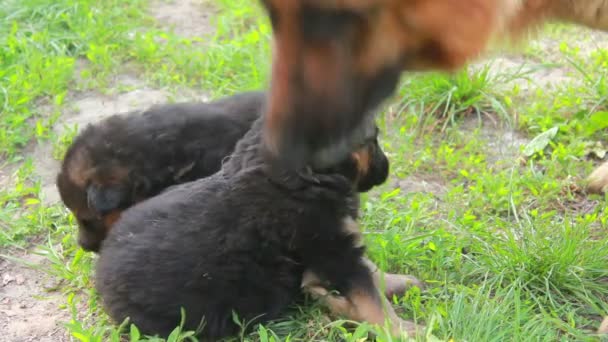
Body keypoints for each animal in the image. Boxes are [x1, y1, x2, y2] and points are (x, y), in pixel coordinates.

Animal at [97, 117, 426, 340]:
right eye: (373, 141)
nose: (386, 168)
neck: (304, 176)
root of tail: (100, 271)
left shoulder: (336, 245)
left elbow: (370, 274)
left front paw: (398, 284)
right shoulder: (331, 248)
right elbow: (371, 299)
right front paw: (404, 330)